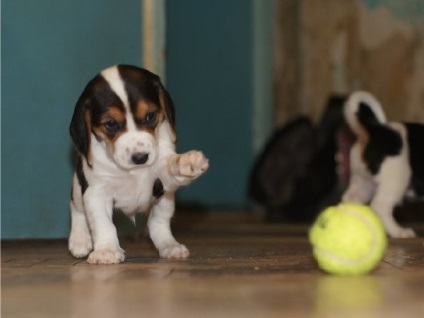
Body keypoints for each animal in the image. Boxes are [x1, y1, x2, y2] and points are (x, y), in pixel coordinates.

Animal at [68, 64, 210, 264]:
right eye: (111, 124)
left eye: (150, 116)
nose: (140, 157)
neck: (133, 171)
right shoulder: (96, 192)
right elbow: (103, 224)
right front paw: (106, 250)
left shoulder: (161, 178)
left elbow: (170, 166)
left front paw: (186, 164)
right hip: (79, 188)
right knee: (76, 207)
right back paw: (80, 240)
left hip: (164, 200)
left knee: (157, 223)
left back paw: (169, 246)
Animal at [342, 90, 424, 237]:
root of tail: (376, 130)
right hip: (396, 180)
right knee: (380, 206)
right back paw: (399, 231)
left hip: (363, 182)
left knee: (350, 199)